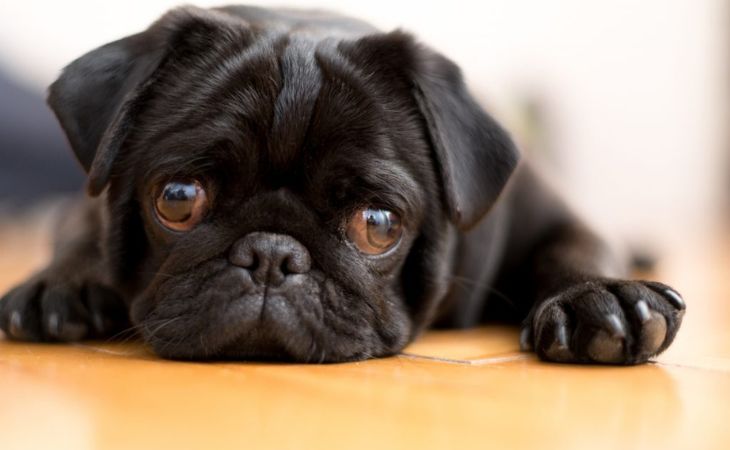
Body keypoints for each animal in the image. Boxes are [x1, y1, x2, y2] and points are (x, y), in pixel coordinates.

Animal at [1, 5, 684, 364]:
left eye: (377, 225)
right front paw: (63, 285)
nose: (270, 255)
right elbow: (83, 234)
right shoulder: (87, 202)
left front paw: (600, 298)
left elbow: (574, 245)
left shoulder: (553, 214)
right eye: (179, 199)